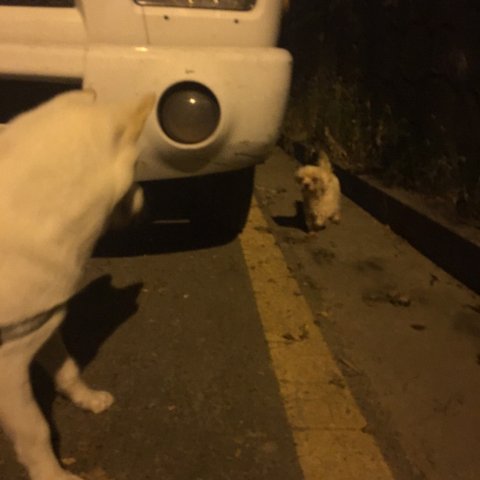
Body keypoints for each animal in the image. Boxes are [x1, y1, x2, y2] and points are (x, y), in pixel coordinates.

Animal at [0, 89, 155, 480]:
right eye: (138, 168)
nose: (147, 201)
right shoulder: (7, 367)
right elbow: (35, 429)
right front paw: (51, 475)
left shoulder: (41, 327)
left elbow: (68, 370)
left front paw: (87, 398)